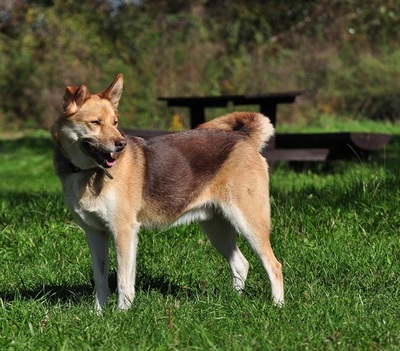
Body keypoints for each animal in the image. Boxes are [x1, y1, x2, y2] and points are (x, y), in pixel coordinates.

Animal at [50, 73, 284, 310]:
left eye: (115, 122)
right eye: (95, 122)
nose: (121, 144)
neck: (87, 172)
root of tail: (244, 138)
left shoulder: (124, 231)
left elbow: (124, 281)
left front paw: (122, 313)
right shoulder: (95, 233)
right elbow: (101, 280)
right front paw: (99, 313)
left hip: (249, 222)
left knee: (274, 265)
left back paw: (277, 305)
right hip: (215, 226)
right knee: (240, 264)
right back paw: (233, 300)